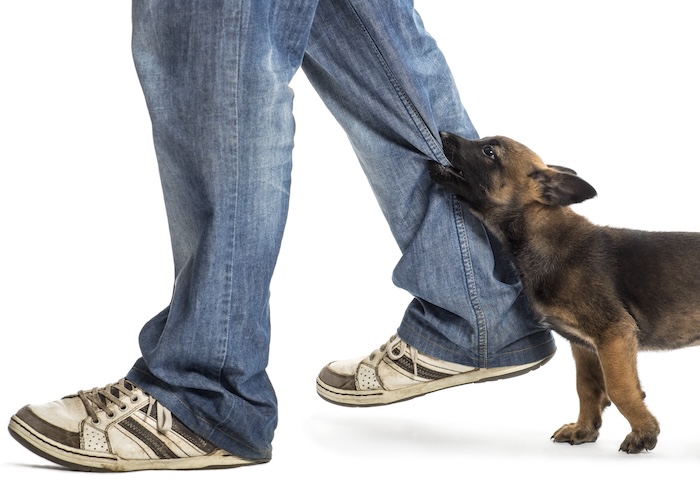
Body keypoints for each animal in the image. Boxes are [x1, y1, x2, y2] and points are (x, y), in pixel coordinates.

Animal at [430, 133, 700, 454]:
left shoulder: (614, 333)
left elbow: (619, 388)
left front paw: (644, 433)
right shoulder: (584, 344)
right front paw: (584, 429)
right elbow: (587, 387)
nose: (443, 135)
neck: (542, 236)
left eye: (489, 151)